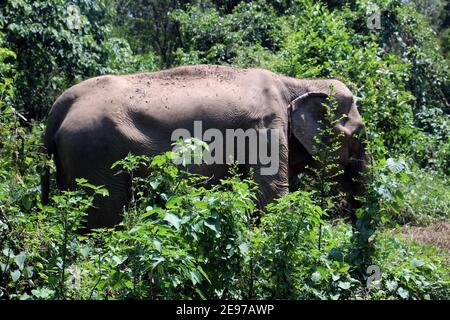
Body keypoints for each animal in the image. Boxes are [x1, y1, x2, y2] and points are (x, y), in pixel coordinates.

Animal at [41, 65, 366, 229]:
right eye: (358, 134)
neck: (295, 83)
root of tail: (60, 105)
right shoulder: (266, 126)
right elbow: (269, 195)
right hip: (95, 157)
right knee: (104, 219)